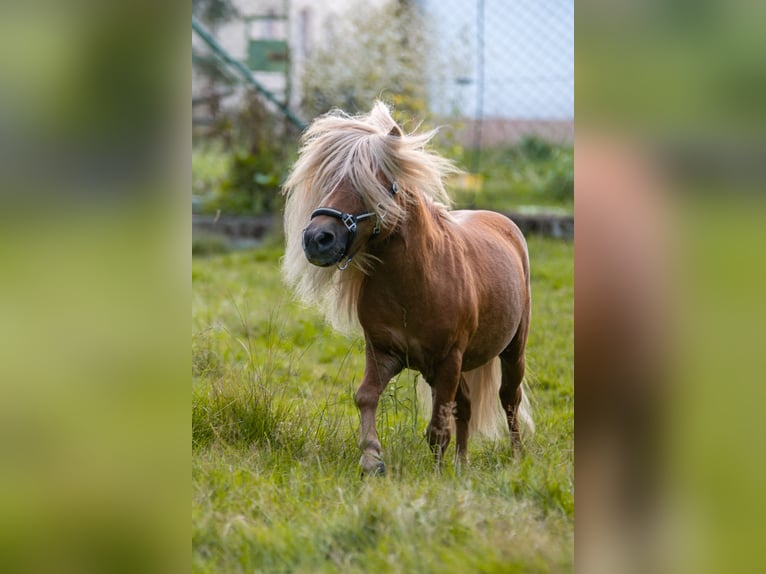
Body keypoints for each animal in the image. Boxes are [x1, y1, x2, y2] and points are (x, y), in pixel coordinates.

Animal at [282, 101, 536, 474]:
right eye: (328, 180)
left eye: (369, 182)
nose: (317, 239)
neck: (415, 286)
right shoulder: (385, 353)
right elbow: (366, 396)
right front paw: (372, 458)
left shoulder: (447, 361)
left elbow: (437, 428)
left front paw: (436, 476)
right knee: (467, 405)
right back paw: (461, 464)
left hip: (512, 350)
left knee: (508, 400)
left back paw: (516, 458)